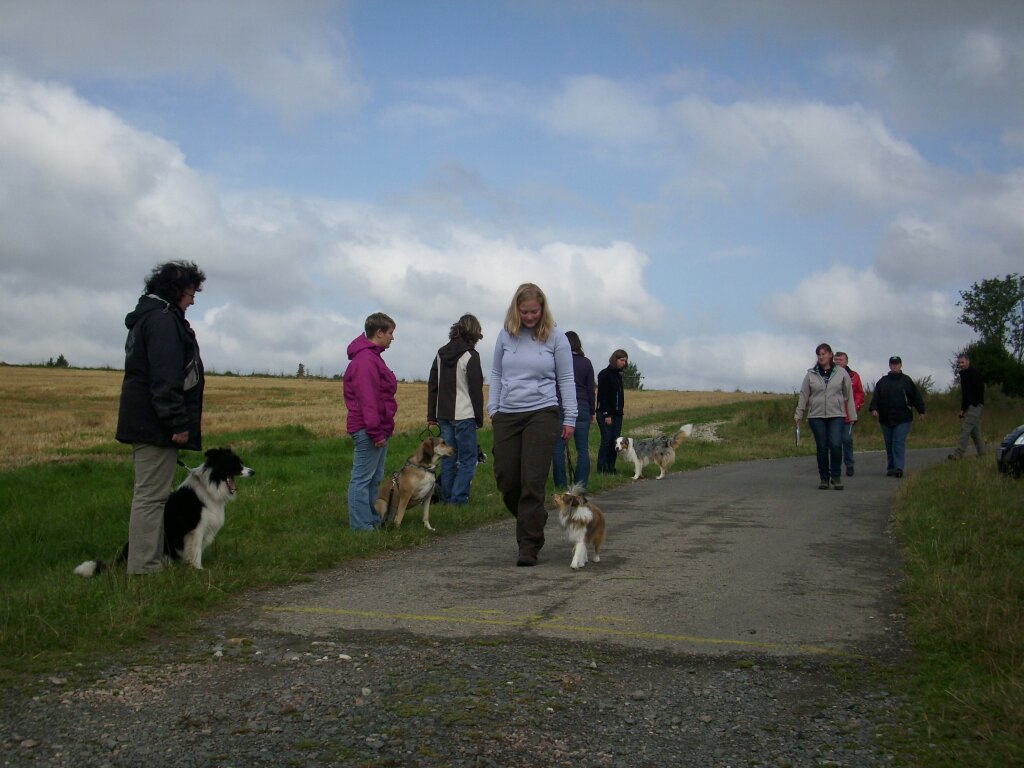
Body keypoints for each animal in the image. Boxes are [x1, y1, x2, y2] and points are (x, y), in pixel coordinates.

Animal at [74, 447, 255, 576]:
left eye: (241, 462)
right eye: (235, 464)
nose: (252, 472)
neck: (209, 486)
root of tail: (121, 559)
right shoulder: (195, 529)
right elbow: (195, 551)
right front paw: (198, 570)